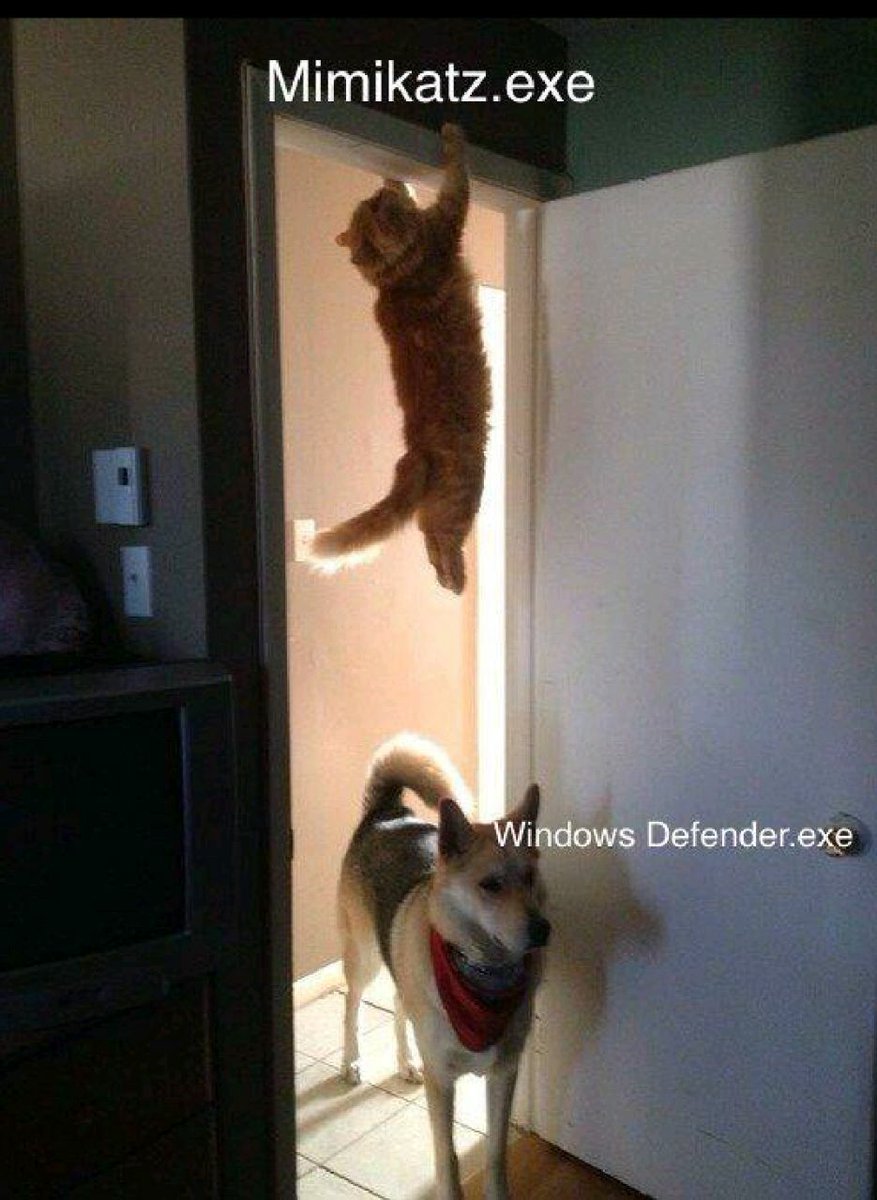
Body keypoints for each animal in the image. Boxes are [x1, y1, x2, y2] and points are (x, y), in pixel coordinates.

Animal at [308, 123, 490, 595]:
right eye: (376, 208)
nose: (378, 193)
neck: (395, 277)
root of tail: (417, 450)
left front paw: (398, 180)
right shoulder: (448, 216)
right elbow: (457, 169)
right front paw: (452, 132)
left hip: (437, 510)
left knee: (428, 541)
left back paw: (448, 584)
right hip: (467, 493)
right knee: (445, 542)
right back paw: (458, 583)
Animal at [338, 733, 550, 1199]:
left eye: (528, 878)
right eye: (490, 885)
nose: (543, 930)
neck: (483, 977)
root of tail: (387, 814)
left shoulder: (504, 1072)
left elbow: (495, 1151)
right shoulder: (443, 1082)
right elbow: (448, 1158)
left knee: (399, 1004)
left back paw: (405, 1062)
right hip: (364, 956)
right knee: (352, 1006)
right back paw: (352, 1062)